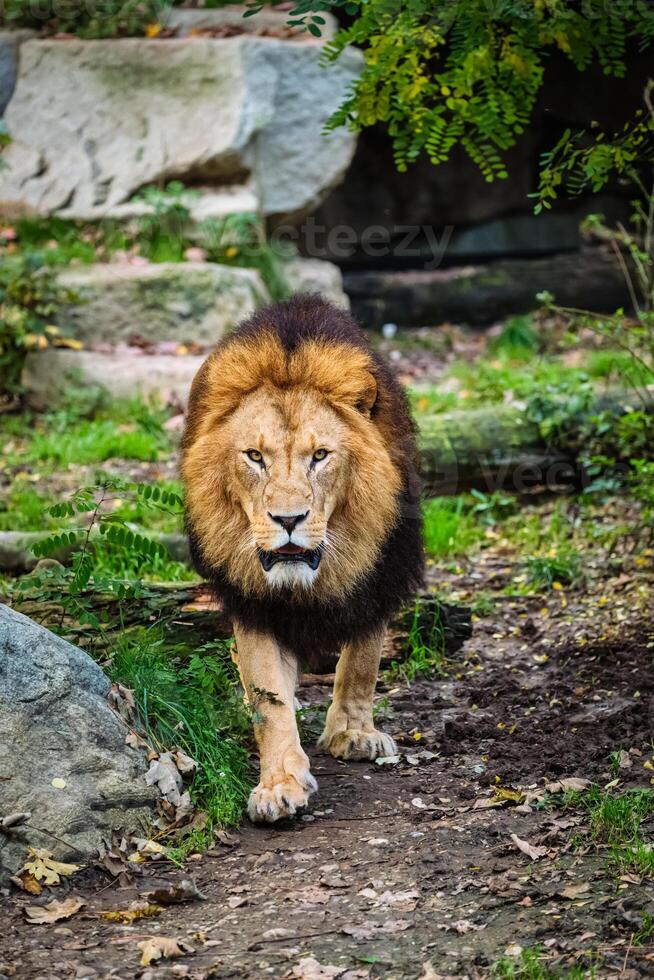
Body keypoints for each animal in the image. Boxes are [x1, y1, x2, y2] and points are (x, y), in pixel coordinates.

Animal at [183, 294, 426, 824]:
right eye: (255, 456)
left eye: (320, 456)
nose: (289, 519)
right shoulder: (253, 602)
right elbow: (269, 697)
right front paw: (279, 784)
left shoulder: (378, 576)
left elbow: (361, 661)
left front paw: (353, 733)